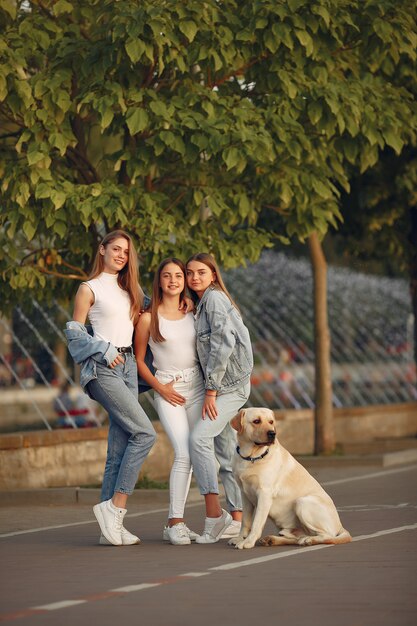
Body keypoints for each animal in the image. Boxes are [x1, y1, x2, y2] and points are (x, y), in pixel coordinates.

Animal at [229, 404, 350, 544]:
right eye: (256, 421)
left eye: (271, 422)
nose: (272, 433)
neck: (251, 457)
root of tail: (340, 525)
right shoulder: (245, 494)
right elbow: (245, 521)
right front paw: (239, 538)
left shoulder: (264, 494)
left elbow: (256, 523)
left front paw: (248, 542)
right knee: (295, 537)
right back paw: (273, 539)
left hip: (302, 502)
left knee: (327, 536)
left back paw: (309, 540)